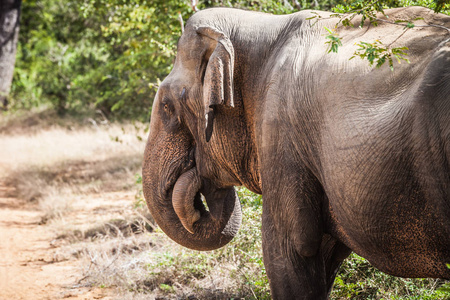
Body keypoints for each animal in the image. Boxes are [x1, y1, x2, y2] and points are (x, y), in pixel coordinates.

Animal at [143, 5, 450, 298]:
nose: (197, 211)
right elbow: (324, 253)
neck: (265, 27)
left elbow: (290, 250)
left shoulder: (281, 132)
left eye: (167, 107)